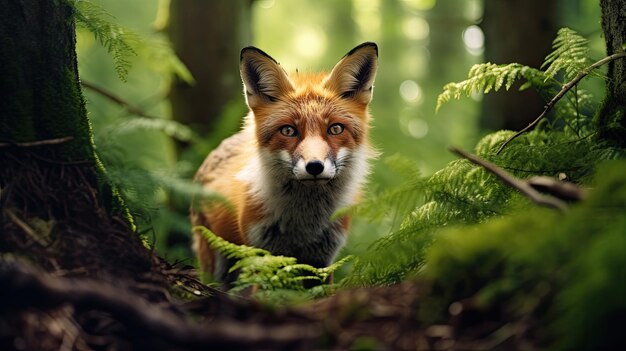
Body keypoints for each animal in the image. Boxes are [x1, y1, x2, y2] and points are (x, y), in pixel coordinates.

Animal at [189, 42, 376, 284]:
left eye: (335, 129)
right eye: (288, 130)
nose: (314, 166)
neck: (304, 225)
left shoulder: (323, 262)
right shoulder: (263, 253)